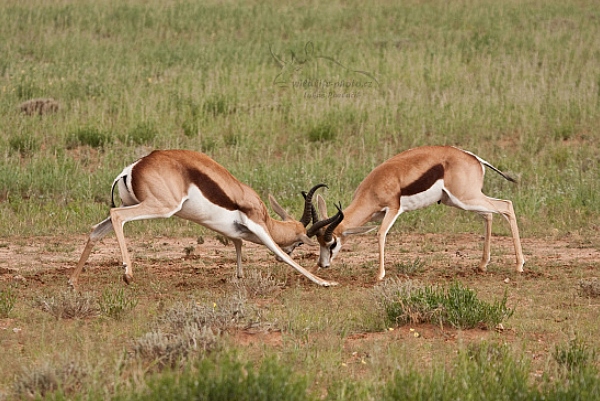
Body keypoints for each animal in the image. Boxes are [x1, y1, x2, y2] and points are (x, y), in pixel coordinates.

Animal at [68, 148, 340, 290]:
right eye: (301, 242)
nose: (296, 247)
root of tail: (132, 168)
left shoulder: (236, 232)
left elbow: (238, 246)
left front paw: (239, 277)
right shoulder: (257, 226)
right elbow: (281, 255)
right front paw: (324, 282)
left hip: (133, 203)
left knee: (96, 230)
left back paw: (72, 281)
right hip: (160, 207)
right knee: (117, 216)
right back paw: (128, 274)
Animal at [312, 145, 524, 280]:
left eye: (332, 244)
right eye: (320, 242)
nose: (323, 265)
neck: (374, 187)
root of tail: (474, 158)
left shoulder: (393, 209)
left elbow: (380, 235)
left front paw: (380, 275)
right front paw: (312, 271)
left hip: (466, 198)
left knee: (506, 206)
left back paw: (519, 265)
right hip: (460, 201)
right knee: (489, 214)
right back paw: (482, 265)